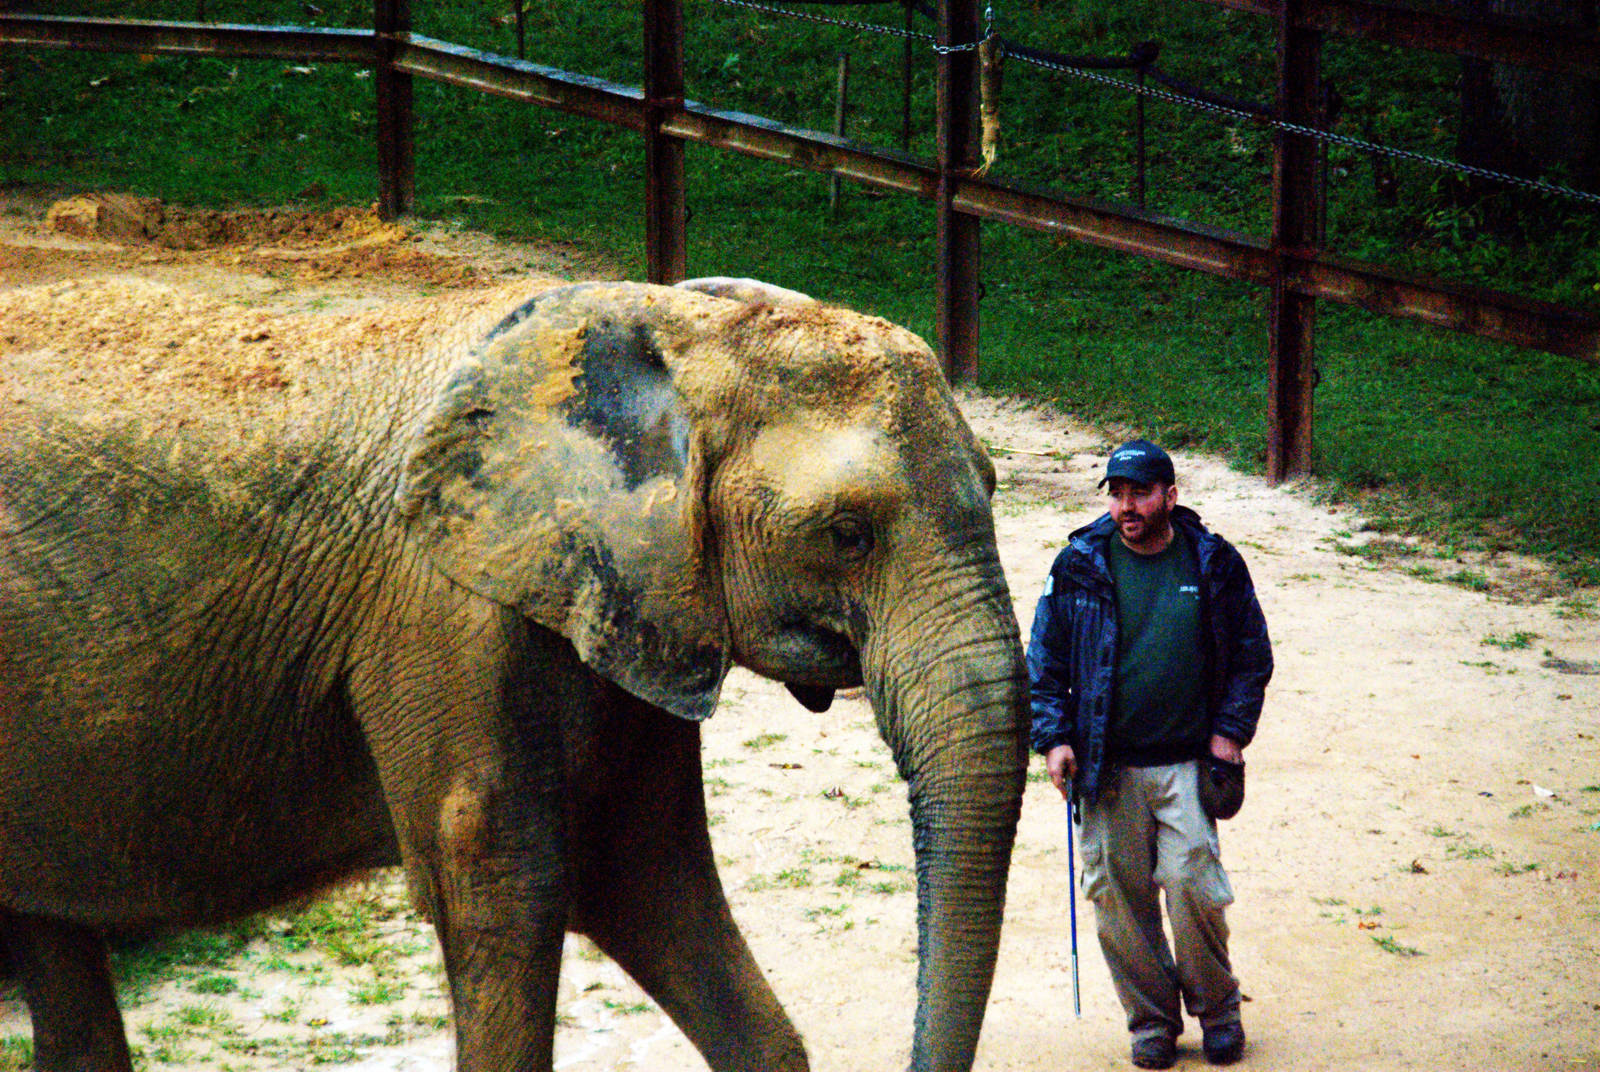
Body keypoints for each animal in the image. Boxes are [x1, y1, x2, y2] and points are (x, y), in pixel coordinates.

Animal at [0, 275, 1029, 1071]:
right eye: (848, 533)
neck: (670, 329)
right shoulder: (447, 614)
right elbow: (506, 889)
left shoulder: (633, 595)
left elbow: (650, 874)